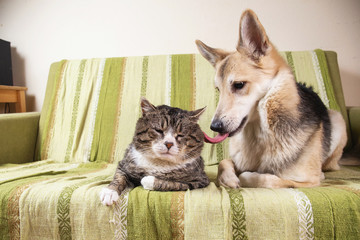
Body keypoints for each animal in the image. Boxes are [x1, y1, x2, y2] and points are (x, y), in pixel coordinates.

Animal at [195, 9, 348, 188]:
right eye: (218, 89)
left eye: (239, 85)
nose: (214, 127)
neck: (261, 133)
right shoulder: (236, 161)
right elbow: (224, 163)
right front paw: (229, 179)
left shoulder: (308, 181)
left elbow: (262, 178)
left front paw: (245, 177)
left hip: (337, 119)